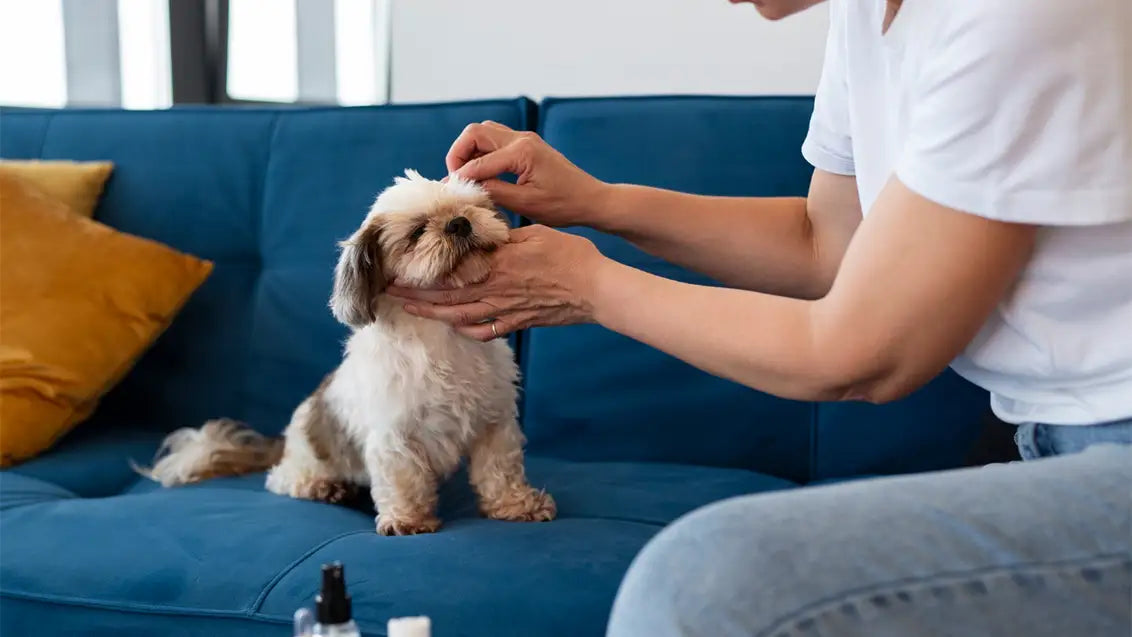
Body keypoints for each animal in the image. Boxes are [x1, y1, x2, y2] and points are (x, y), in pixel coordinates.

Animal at [136, 170, 556, 538]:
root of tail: (285, 440)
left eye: (471, 207)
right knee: (281, 480)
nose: (459, 223)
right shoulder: (393, 436)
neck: (441, 337)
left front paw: (517, 506)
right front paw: (407, 520)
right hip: (309, 461)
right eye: (417, 232)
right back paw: (324, 488)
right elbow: (404, 479)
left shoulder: (495, 422)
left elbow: (500, 470)